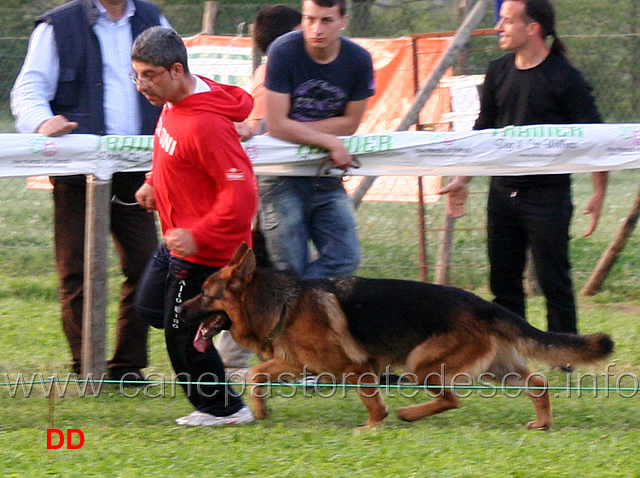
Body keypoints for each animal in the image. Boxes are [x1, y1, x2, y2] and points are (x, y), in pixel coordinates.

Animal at [181, 243, 616, 430]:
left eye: (205, 293)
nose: (179, 312)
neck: (282, 303)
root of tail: (484, 305)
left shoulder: (356, 368)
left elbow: (373, 404)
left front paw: (373, 426)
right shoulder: (295, 364)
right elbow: (257, 376)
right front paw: (260, 410)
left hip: (422, 365)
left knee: (452, 398)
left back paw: (409, 413)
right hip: (497, 369)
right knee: (538, 383)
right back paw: (542, 423)